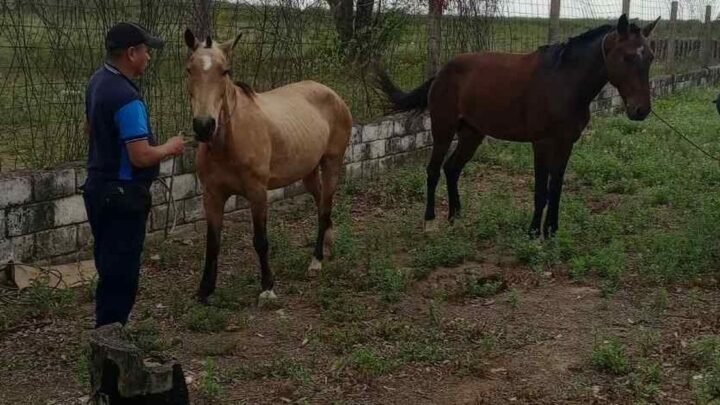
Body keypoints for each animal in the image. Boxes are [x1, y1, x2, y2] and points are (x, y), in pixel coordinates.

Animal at [183, 29, 353, 304]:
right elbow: (213, 243)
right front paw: (205, 289)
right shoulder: (212, 195)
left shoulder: (257, 193)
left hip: (332, 164)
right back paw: (328, 244)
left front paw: (267, 287)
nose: (204, 126)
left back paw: (316, 261)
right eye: (189, 69)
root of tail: (333, 94)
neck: (229, 142)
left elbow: (260, 240)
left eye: (225, 71)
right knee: (321, 206)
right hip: (308, 173)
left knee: (325, 207)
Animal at [374, 14, 660, 238]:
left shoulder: (566, 143)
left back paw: (456, 216)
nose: (641, 110)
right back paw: (430, 222)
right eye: (627, 57)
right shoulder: (541, 143)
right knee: (433, 170)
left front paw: (552, 231)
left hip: (472, 133)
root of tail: (442, 71)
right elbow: (541, 190)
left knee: (452, 168)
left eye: (650, 57)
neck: (564, 81)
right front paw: (534, 232)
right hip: (443, 129)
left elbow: (555, 188)